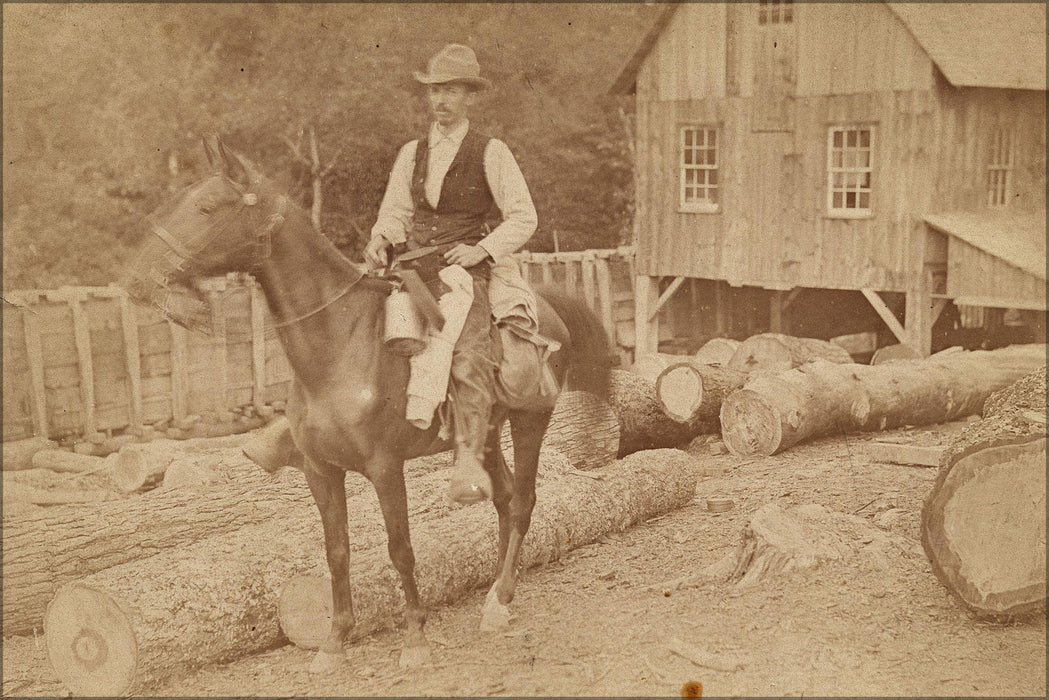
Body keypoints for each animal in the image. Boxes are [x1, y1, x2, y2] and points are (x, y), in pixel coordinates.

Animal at [125, 138, 612, 671]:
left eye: (207, 208)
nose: (138, 278)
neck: (340, 346)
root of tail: (545, 307)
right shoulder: (320, 470)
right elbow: (336, 550)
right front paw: (335, 641)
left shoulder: (385, 467)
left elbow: (400, 547)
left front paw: (415, 638)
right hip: (483, 434)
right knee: (502, 498)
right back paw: (495, 596)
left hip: (530, 421)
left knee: (522, 502)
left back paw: (501, 598)